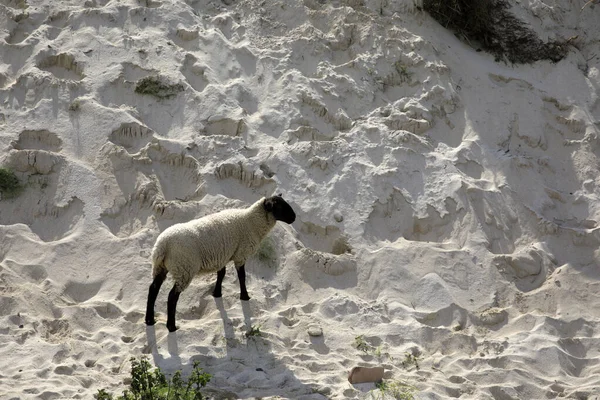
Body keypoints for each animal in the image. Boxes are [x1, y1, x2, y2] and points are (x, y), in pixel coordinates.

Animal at [145, 194, 296, 332]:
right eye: (279, 206)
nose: (294, 218)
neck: (251, 223)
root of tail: (163, 245)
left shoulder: (221, 256)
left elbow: (221, 274)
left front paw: (217, 293)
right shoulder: (240, 255)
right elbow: (242, 277)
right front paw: (245, 296)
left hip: (161, 267)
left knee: (153, 289)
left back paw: (149, 320)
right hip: (184, 269)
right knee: (172, 297)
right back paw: (171, 326)